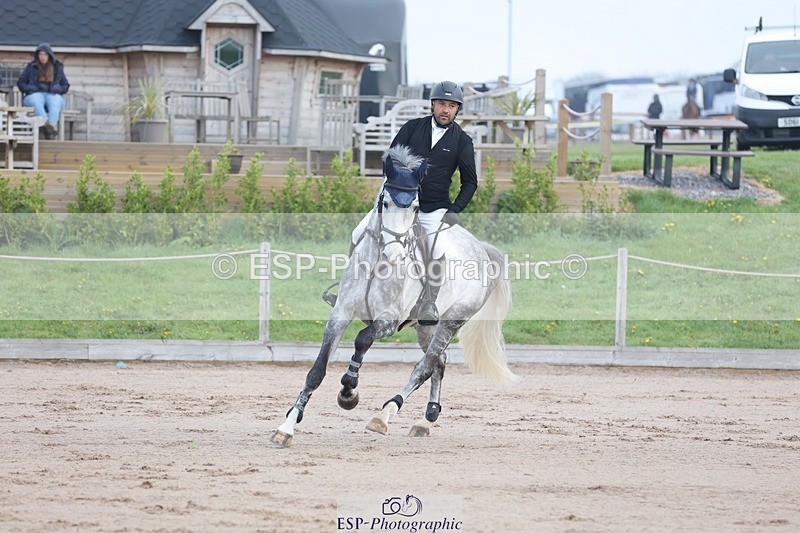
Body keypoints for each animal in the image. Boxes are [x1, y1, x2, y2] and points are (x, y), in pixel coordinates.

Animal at [270, 145, 517, 448]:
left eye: (415, 207)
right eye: (385, 202)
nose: (395, 256)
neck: (377, 263)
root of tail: (481, 248)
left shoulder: (388, 320)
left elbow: (362, 339)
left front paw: (349, 392)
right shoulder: (340, 313)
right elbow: (316, 371)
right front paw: (287, 426)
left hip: (453, 320)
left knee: (425, 367)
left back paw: (385, 414)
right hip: (427, 326)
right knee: (439, 363)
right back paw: (425, 420)